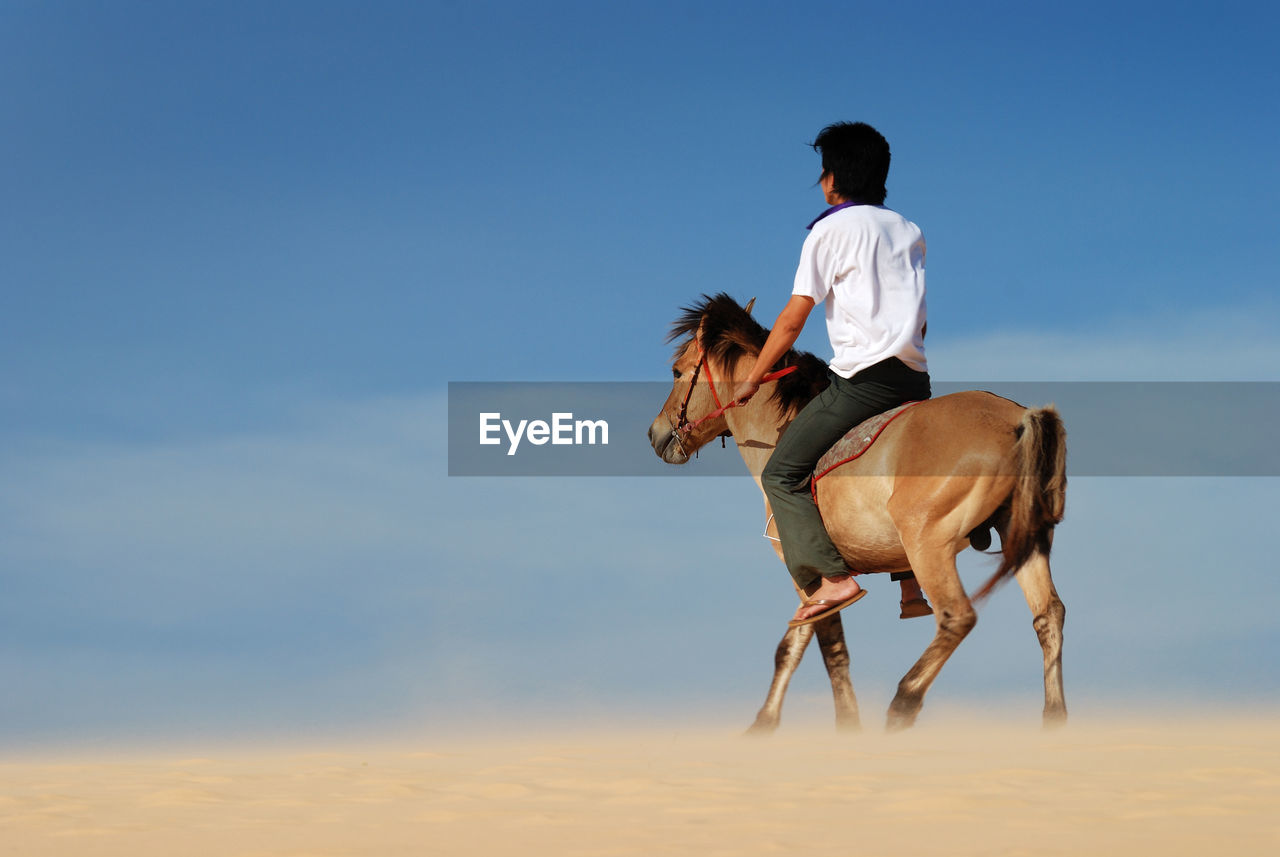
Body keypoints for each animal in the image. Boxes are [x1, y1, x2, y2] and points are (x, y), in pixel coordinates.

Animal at [645, 295, 1064, 731]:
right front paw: (763, 725)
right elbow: (793, 643)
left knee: (958, 616)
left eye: (677, 371)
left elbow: (828, 647)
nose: (655, 434)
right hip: (1023, 534)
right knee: (1048, 615)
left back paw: (903, 701)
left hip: (927, 542)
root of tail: (1017, 418)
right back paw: (1055, 718)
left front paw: (844, 724)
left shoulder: (808, 570)